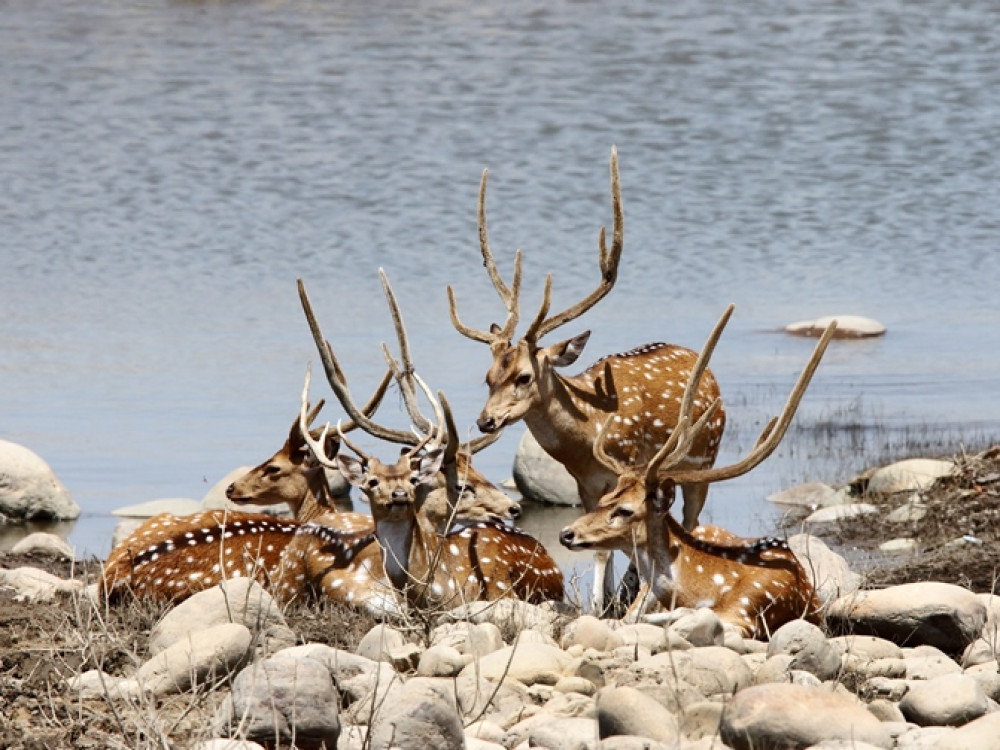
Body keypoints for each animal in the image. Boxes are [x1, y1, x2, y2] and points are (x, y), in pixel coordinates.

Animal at [454, 148, 728, 612]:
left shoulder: (625, 471)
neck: (587, 435)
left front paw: (608, 604)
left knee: (691, 520)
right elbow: (603, 544)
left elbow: (613, 542)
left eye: (524, 376)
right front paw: (608, 601)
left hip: (704, 459)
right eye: (488, 376)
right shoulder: (585, 482)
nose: (485, 421)